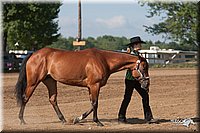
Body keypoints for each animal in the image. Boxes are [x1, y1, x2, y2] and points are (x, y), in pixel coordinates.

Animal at [15, 47, 149, 126]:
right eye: (144, 67)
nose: (147, 83)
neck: (103, 60)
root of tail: (33, 54)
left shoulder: (91, 87)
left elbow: (92, 104)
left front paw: (78, 119)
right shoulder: (95, 85)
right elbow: (95, 103)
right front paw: (96, 121)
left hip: (50, 81)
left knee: (52, 99)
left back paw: (63, 120)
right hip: (33, 82)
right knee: (25, 98)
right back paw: (21, 120)